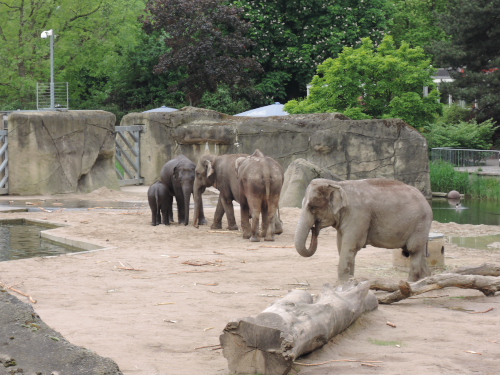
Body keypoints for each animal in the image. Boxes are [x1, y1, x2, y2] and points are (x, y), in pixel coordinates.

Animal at [294, 179, 432, 282]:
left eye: (312, 207)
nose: (314, 229)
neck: (338, 184)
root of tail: (426, 200)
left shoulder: (358, 214)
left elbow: (350, 245)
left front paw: (341, 284)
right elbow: (341, 245)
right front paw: (349, 282)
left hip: (420, 223)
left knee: (413, 250)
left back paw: (411, 283)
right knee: (419, 252)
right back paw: (425, 281)